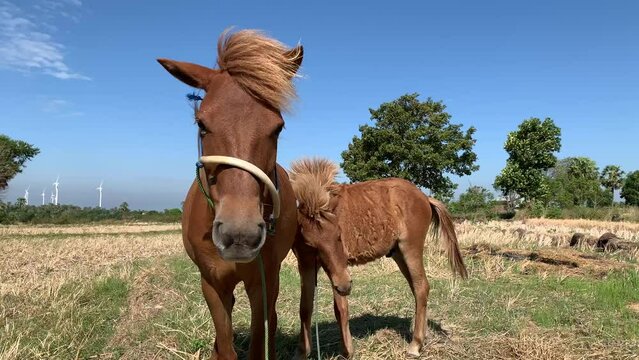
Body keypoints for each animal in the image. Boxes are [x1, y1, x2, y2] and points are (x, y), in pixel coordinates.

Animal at [158, 29, 302, 358]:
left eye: (278, 127)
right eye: (202, 123)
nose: (240, 234)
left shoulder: (263, 283)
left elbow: (260, 339)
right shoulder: (211, 283)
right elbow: (225, 344)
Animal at [288, 159, 464, 358]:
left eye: (339, 236)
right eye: (311, 244)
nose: (346, 285)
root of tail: (425, 197)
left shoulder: (337, 268)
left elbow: (340, 308)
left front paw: (347, 351)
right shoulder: (306, 264)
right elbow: (305, 308)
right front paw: (302, 352)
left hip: (410, 249)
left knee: (421, 287)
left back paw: (415, 345)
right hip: (398, 254)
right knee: (417, 288)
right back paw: (420, 337)